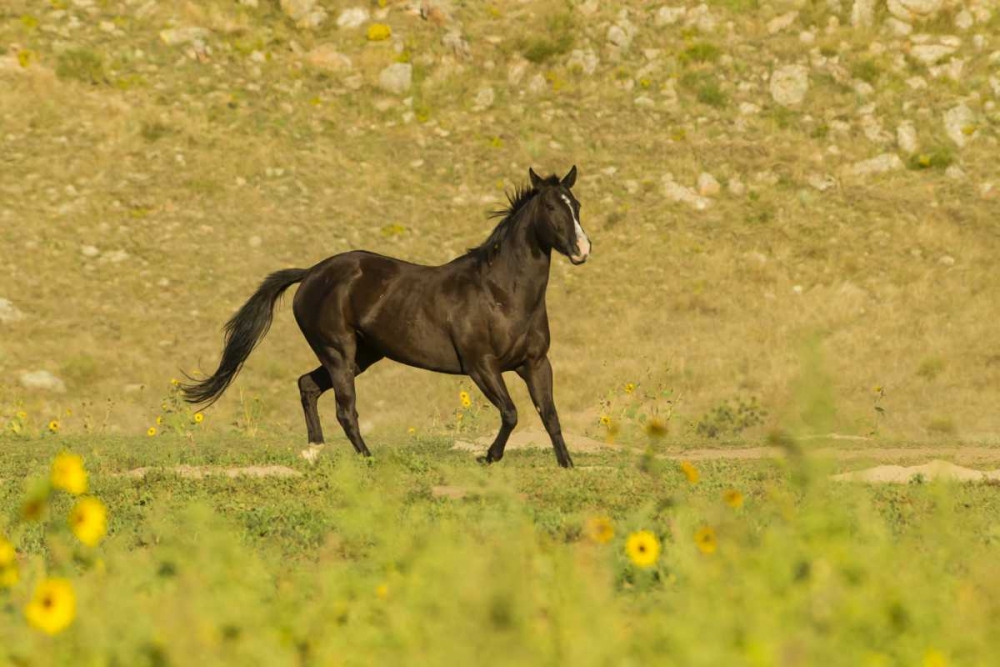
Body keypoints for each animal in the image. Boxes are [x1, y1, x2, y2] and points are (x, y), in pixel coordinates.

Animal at [181, 166, 591, 468]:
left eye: (577, 205)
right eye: (551, 209)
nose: (583, 250)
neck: (501, 293)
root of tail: (312, 272)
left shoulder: (535, 363)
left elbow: (548, 414)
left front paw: (567, 464)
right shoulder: (482, 366)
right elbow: (511, 413)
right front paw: (488, 457)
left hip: (362, 355)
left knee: (307, 385)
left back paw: (314, 450)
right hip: (339, 352)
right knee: (345, 409)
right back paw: (367, 457)